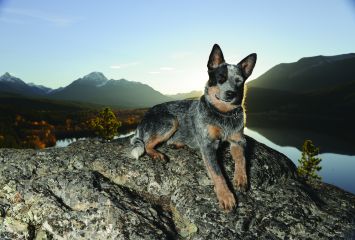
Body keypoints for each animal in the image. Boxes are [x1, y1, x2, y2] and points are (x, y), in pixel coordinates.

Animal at [130, 44, 256, 211]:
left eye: (239, 81)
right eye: (220, 78)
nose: (231, 93)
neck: (223, 115)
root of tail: (143, 119)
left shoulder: (238, 140)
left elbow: (241, 159)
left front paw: (241, 179)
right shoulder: (208, 145)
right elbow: (218, 174)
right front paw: (226, 196)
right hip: (171, 121)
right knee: (147, 144)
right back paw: (157, 154)